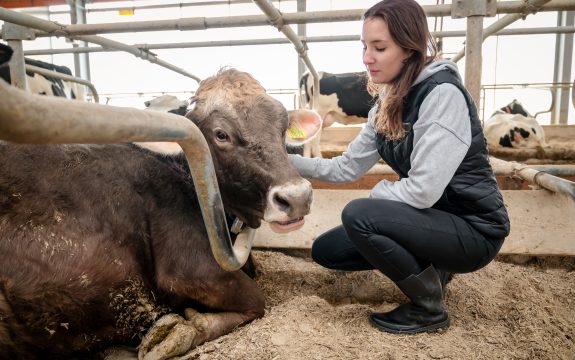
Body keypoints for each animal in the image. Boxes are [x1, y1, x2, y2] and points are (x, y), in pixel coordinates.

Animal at [0, 41, 312, 358]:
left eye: (283, 128)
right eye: (221, 134)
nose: (298, 196)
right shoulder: (191, 270)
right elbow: (256, 300)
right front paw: (180, 330)